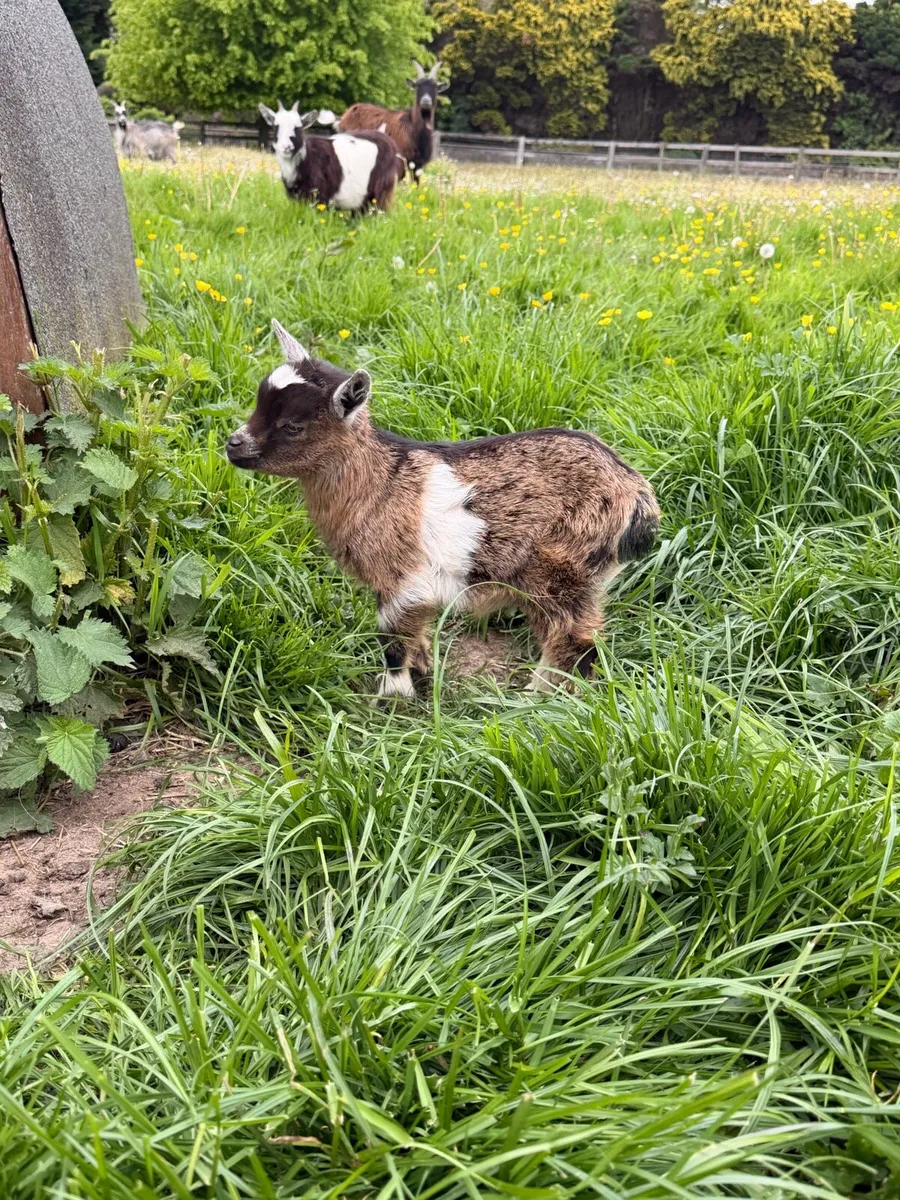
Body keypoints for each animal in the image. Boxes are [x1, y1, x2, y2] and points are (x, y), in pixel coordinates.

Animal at [226, 321, 661, 696]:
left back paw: (535, 700)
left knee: (575, 642)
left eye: (293, 426)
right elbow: (414, 636)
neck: (380, 483)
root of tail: (638, 495)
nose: (233, 445)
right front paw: (422, 672)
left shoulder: (402, 579)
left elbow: (392, 642)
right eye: (258, 405)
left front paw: (391, 700)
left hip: (561, 570)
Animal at [259, 102, 401, 213]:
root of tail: (389, 141)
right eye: (275, 127)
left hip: (380, 193)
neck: (307, 156)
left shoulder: (320, 198)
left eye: (298, 128)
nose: (286, 146)